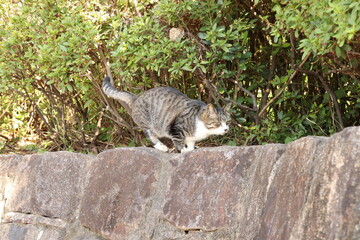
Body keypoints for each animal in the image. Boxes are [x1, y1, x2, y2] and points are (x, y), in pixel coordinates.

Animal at [102, 76, 231, 153]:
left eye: (227, 122)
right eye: (218, 123)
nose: (226, 129)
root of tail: (136, 98)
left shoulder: (191, 138)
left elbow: (190, 144)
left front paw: (189, 149)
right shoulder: (176, 128)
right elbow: (178, 142)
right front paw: (183, 150)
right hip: (147, 122)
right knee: (150, 135)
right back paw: (161, 146)